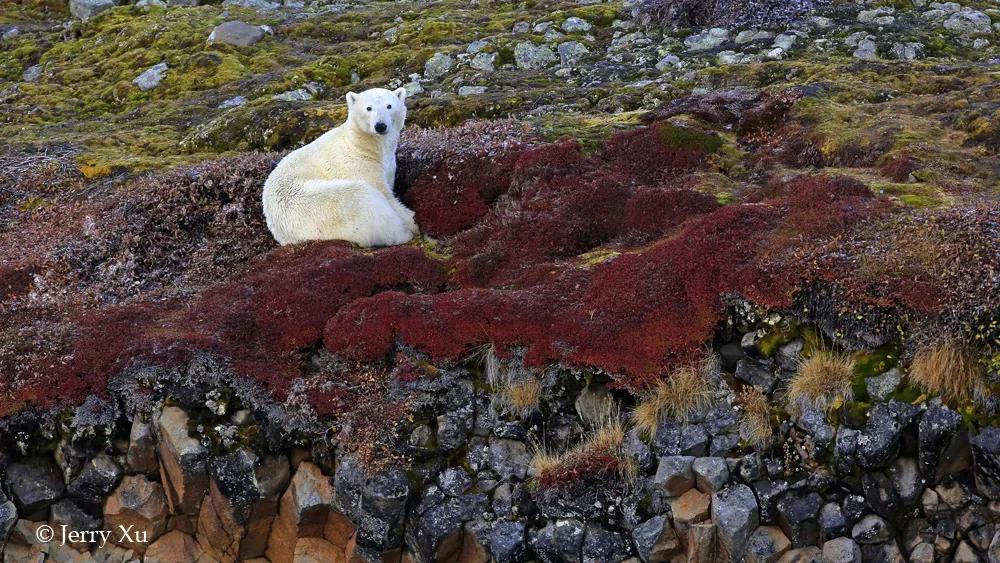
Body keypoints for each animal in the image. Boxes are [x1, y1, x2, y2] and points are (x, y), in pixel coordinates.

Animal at [262, 87, 418, 246]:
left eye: (389, 106)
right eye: (368, 108)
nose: (380, 126)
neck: (360, 143)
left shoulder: (389, 165)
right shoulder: (359, 163)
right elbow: (384, 193)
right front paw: (411, 221)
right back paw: (403, 233)